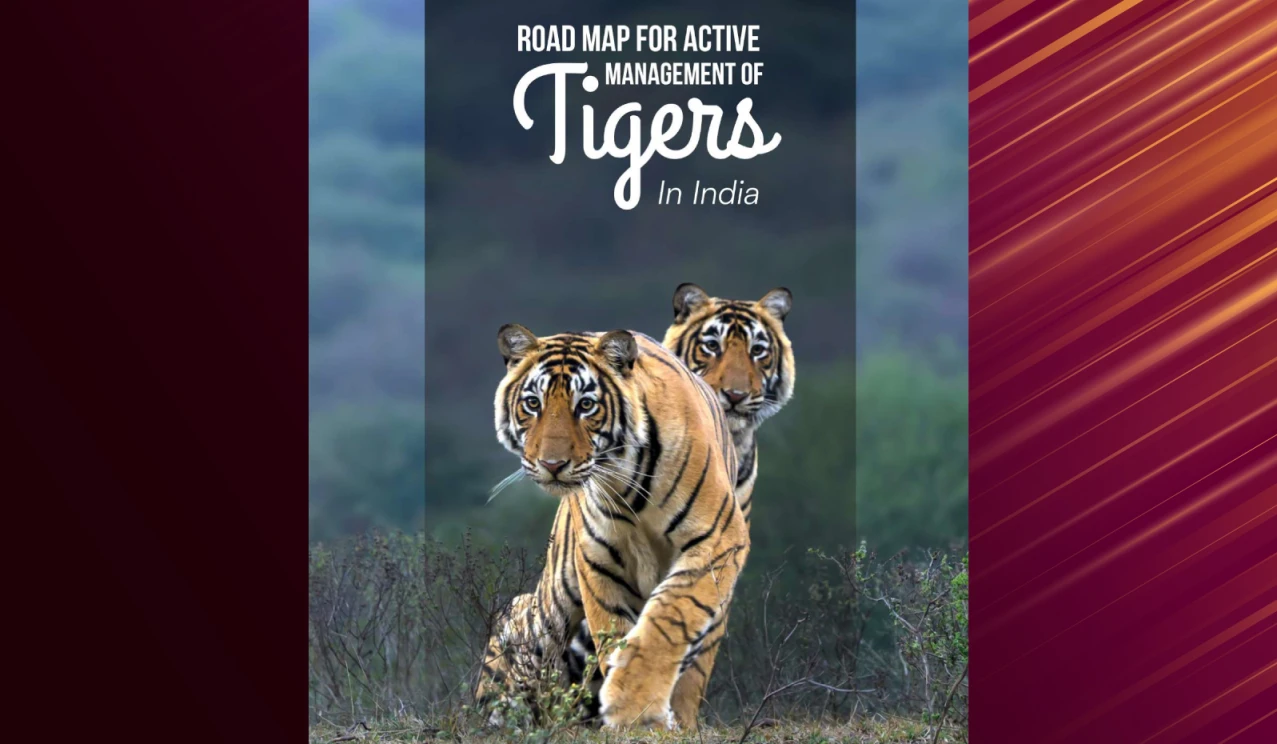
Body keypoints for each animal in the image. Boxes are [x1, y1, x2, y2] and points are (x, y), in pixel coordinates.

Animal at [475, 325, 749, 731]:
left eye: (586, 405)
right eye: (533, 403)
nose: (552, 464)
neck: (627, 476)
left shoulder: (716, 538)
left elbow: (669, 619)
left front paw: (634, 705)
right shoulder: (599, 558)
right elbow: (614, 632)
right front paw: (635, 717)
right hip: (555, 597)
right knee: (519, 617)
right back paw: (492, 708)